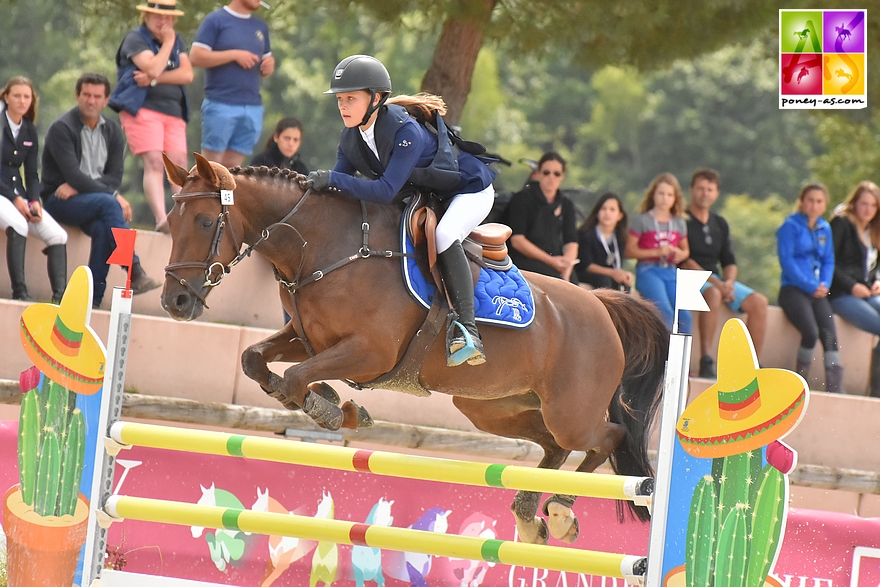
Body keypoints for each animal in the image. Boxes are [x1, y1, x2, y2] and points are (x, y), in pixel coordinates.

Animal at [160, 154, 668, 544]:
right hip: (490, 406)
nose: (174, 302)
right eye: (169, 222)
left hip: (570, 412)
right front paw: (332, 403)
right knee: (551, 447)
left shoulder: (371, 352)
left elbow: (296, 378)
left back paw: (560, 514)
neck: (323, 248)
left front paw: (333, 411)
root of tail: (600, 304)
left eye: (204, 221)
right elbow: (259, 362)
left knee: (606, 438)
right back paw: (529, 519)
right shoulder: (308, 338)